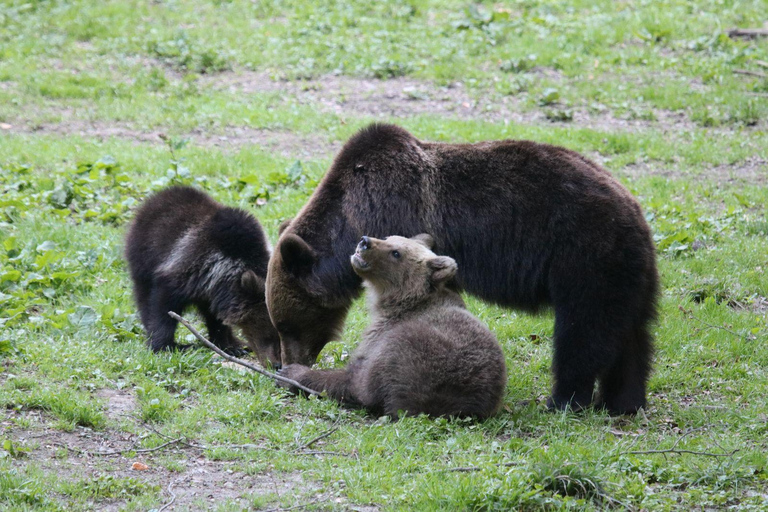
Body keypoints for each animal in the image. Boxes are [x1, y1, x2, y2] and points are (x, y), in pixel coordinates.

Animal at [125, 185, 281, 368]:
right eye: (269, 333)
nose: (277, 364)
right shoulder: (185, 269)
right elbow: (163, 307)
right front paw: (165, 346)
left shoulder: (216, 290)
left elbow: (216, 317)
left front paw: (231, 346)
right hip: (143, 257)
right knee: (143, 296)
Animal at [278, 234, 507, 419]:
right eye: (389, 237)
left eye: (396, 253)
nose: (365, 241)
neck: (394, 303)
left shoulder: (383, 334)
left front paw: (292, 372)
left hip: (410, 356)